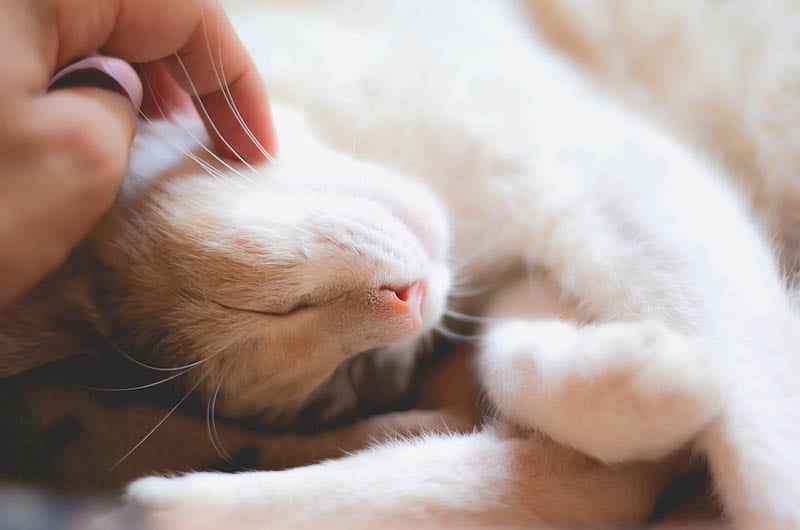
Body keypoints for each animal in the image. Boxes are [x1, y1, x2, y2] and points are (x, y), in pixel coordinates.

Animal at [120, 0, 800, 524]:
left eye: (278, 309)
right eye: (350, 375)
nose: (409, 304)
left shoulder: (616, 180)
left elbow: (759, 434)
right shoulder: (538, 259)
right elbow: (507, 365)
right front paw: (647, 386)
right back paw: (170, 504)